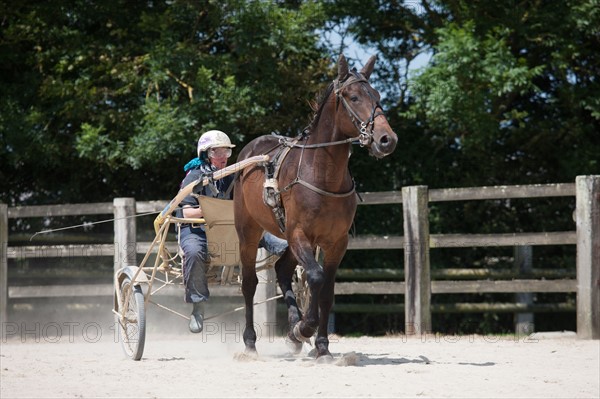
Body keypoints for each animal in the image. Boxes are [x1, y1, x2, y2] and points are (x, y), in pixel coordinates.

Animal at [234, 54, 398, 362]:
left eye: (378, 96)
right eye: (354, 97)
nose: (387, 139)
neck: (322, 174)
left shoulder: (336, 241)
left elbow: (327, 290)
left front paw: (320, 344)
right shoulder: (301, 234)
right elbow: (316, 277)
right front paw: (305, 327)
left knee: (283, 270)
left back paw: (292, 332)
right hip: (248, 231)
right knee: (249, 283)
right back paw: (250, 343)